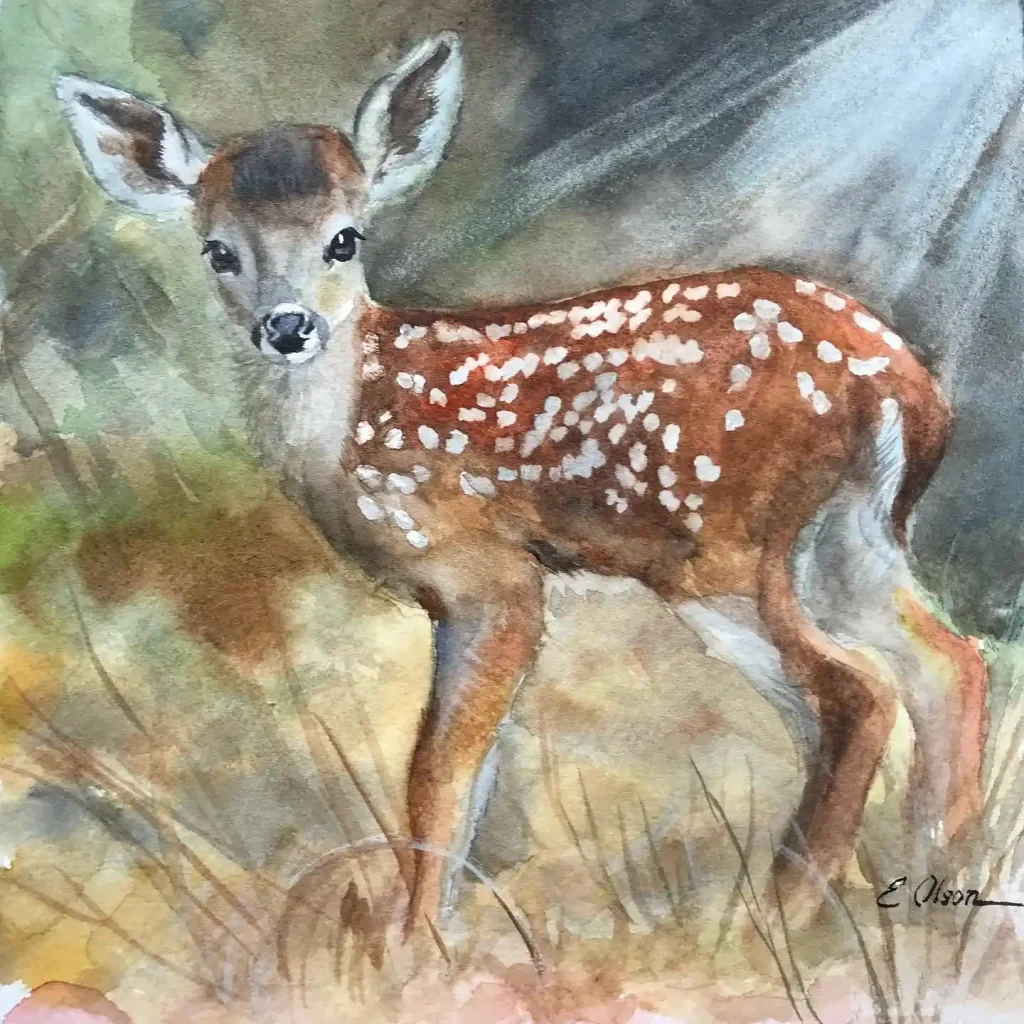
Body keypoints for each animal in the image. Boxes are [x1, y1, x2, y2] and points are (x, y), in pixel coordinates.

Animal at [55, 31, 987, 936]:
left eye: (344, 238)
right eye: (218, 250)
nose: (287, 327)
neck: (356, 422)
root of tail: (906, 384)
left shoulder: (486, 570)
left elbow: (436, 768)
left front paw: (411, 946)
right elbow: (473, 766)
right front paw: (434, 928)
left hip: (726, 543)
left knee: (856, 691)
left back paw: (778, 917)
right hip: (847, 537)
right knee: (947, 660)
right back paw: (932, 881)